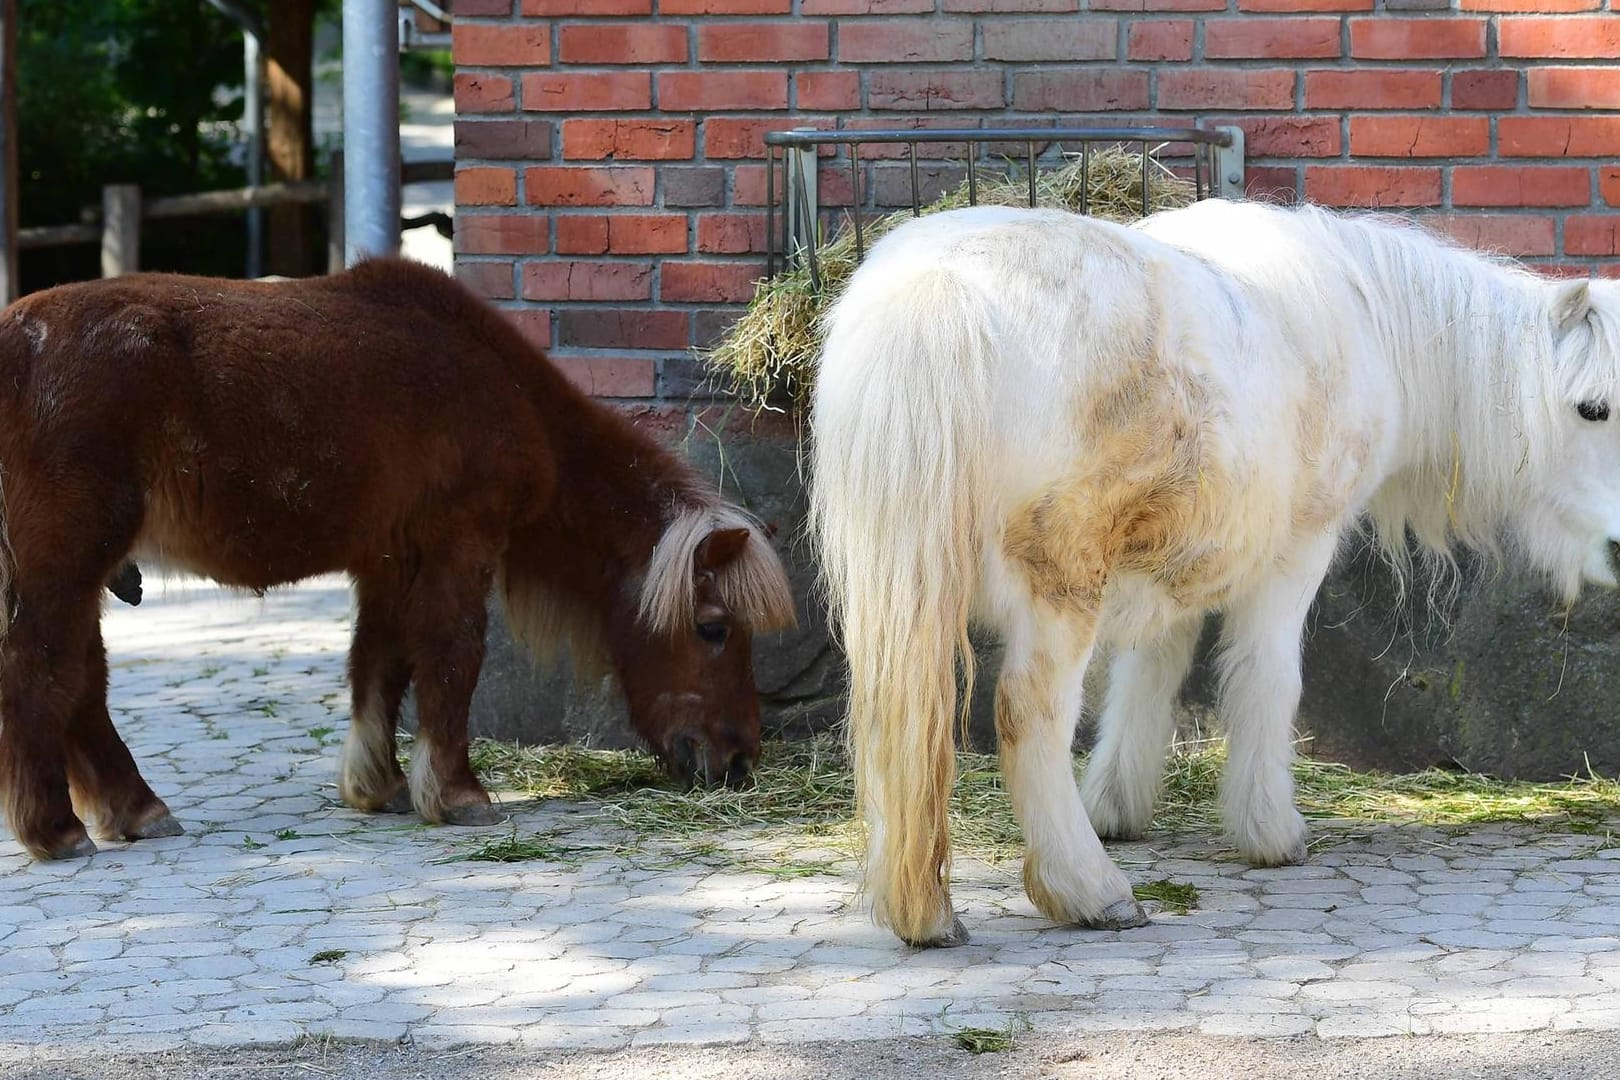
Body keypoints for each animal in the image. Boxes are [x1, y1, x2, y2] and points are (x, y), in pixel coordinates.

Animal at [0, 255, 790, 861]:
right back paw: (56, 831)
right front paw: (458, 793)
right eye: (714, 629)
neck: (497, 383)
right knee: (42, 676)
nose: (738, 759)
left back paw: (134, 810)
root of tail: (17, 344)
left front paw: (378, 785)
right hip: (63, 569)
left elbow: (381, 665)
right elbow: (451, 658)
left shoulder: (390, 561)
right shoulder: (458, 546)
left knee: (83, 688)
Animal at [816, 196, 1620, 945]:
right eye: (1591, 409)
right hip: (1061, 588)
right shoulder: (1297, 552)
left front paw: (1119, 806)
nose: (1618, 548)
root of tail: (938, 290)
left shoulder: (1171, 566)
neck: (1364, 312)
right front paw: (1271, 832)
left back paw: (925, 909)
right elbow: (1266, 680)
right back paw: (1089, 891)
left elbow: (1149, 679)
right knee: (1028, 712)